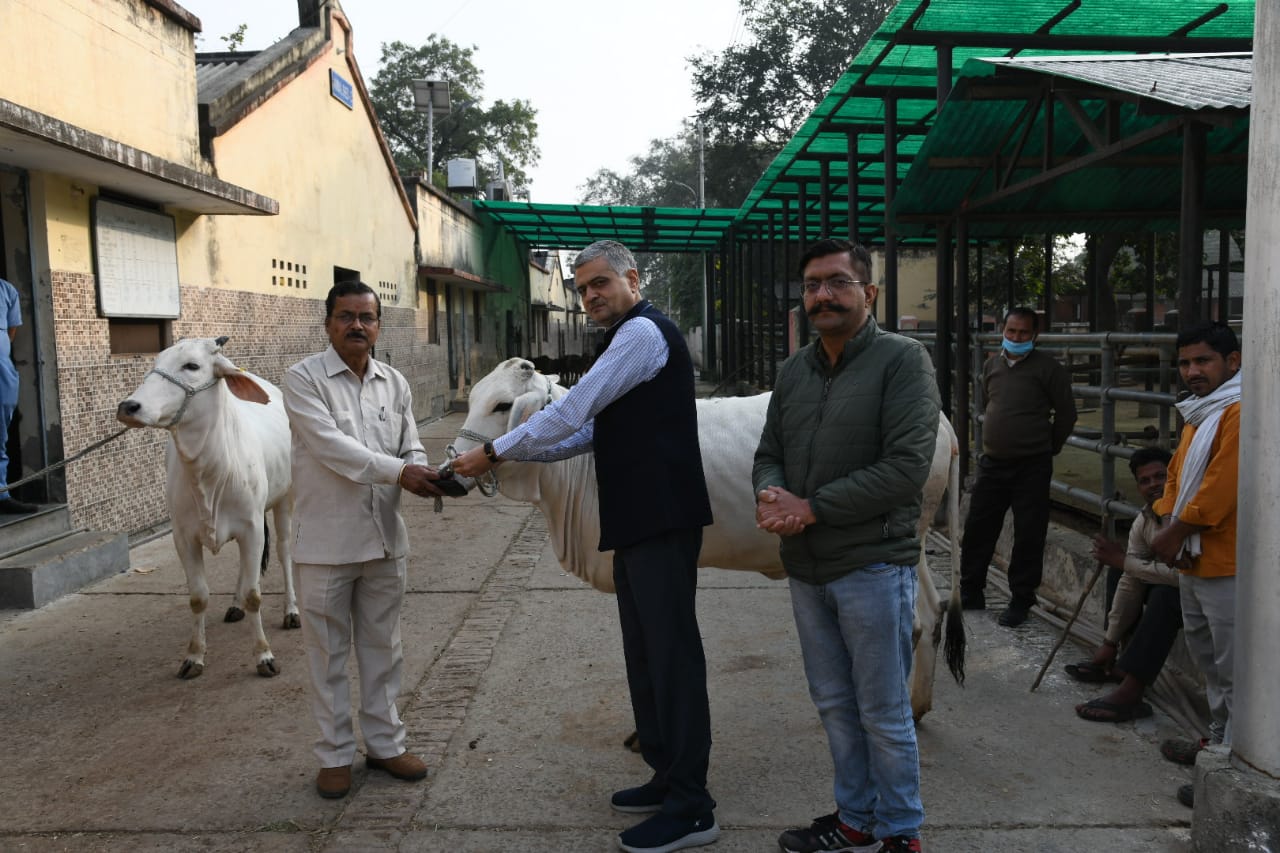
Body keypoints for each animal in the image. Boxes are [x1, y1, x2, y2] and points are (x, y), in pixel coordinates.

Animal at [117, 335, 296, 676]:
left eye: (192, 366)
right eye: (155, 362)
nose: (128, 407)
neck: (209, 473)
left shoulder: (253, 529)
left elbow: (255, 594)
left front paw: (264, 655)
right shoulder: (184, 537)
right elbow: (198, 597)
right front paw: (194, 656)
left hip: (285, 501)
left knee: (284, 554)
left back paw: (291, 611)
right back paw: (235, 605)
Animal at [455, 356, 962, 722]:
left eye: (502, 406)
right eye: (473, 398)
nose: (451, 469)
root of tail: (942, 421)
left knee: (909, 626)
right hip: (914, 546)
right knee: (932, 613)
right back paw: (917, 706)